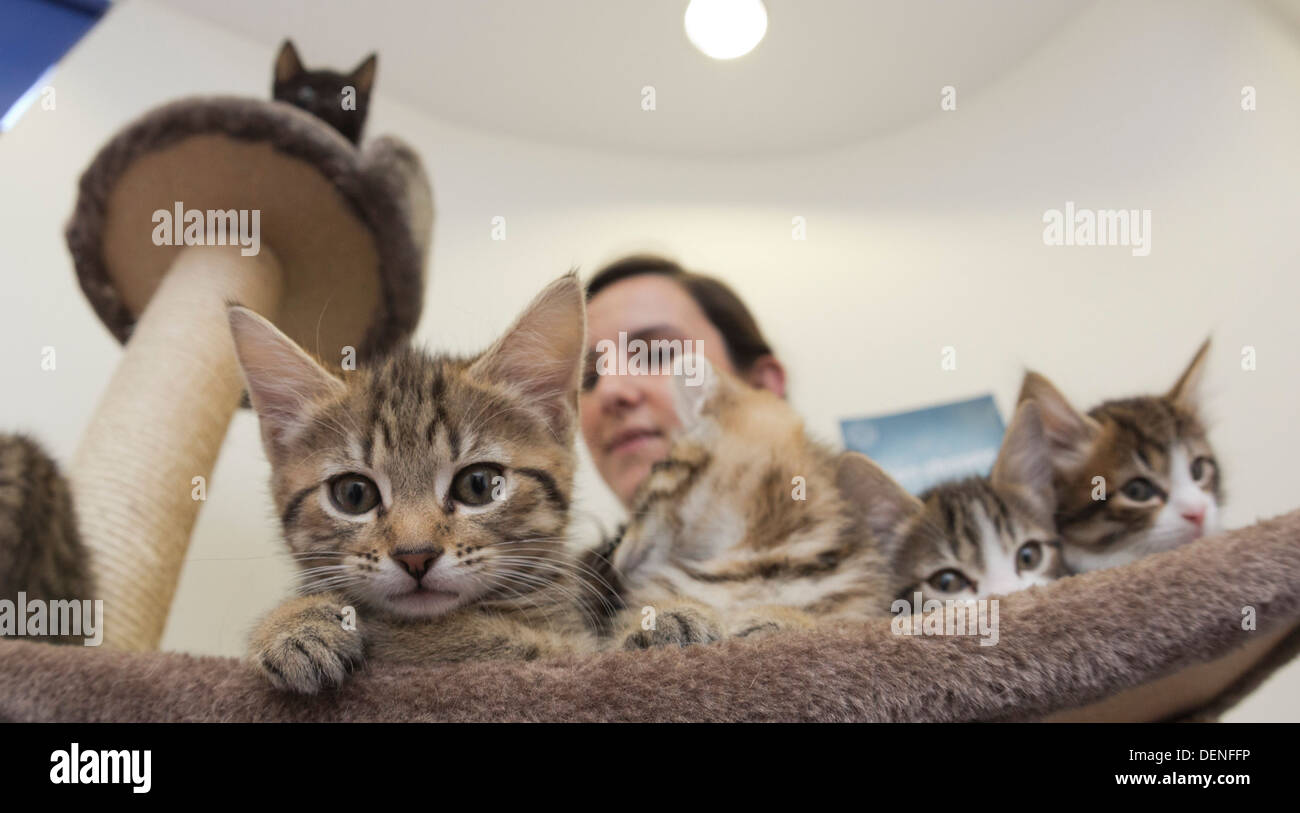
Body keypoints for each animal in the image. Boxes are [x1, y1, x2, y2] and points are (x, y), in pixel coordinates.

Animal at [233, 274, 603, 692]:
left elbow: (476, 640)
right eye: (354, 494)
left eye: (478, 485)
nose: (415, 556)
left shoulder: (568, 643)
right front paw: (293, 622)